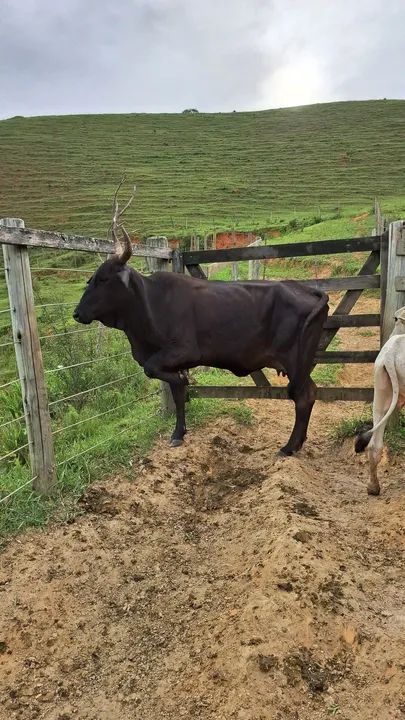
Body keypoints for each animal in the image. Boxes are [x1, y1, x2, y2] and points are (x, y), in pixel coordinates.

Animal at [73, 184, 329, 456]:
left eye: (104, 279)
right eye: (91, 278)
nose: (76, 313)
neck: (149, 304)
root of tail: (306, 289)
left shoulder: (182, 351)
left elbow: (156, 372)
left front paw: (185, 384)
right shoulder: (169, 359)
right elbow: (176, 394)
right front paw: (178, 433)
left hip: (296, 361)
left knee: (303, 397)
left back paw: (289, 447)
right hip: (300, 364)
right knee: (310, 393)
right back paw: (298, 443)